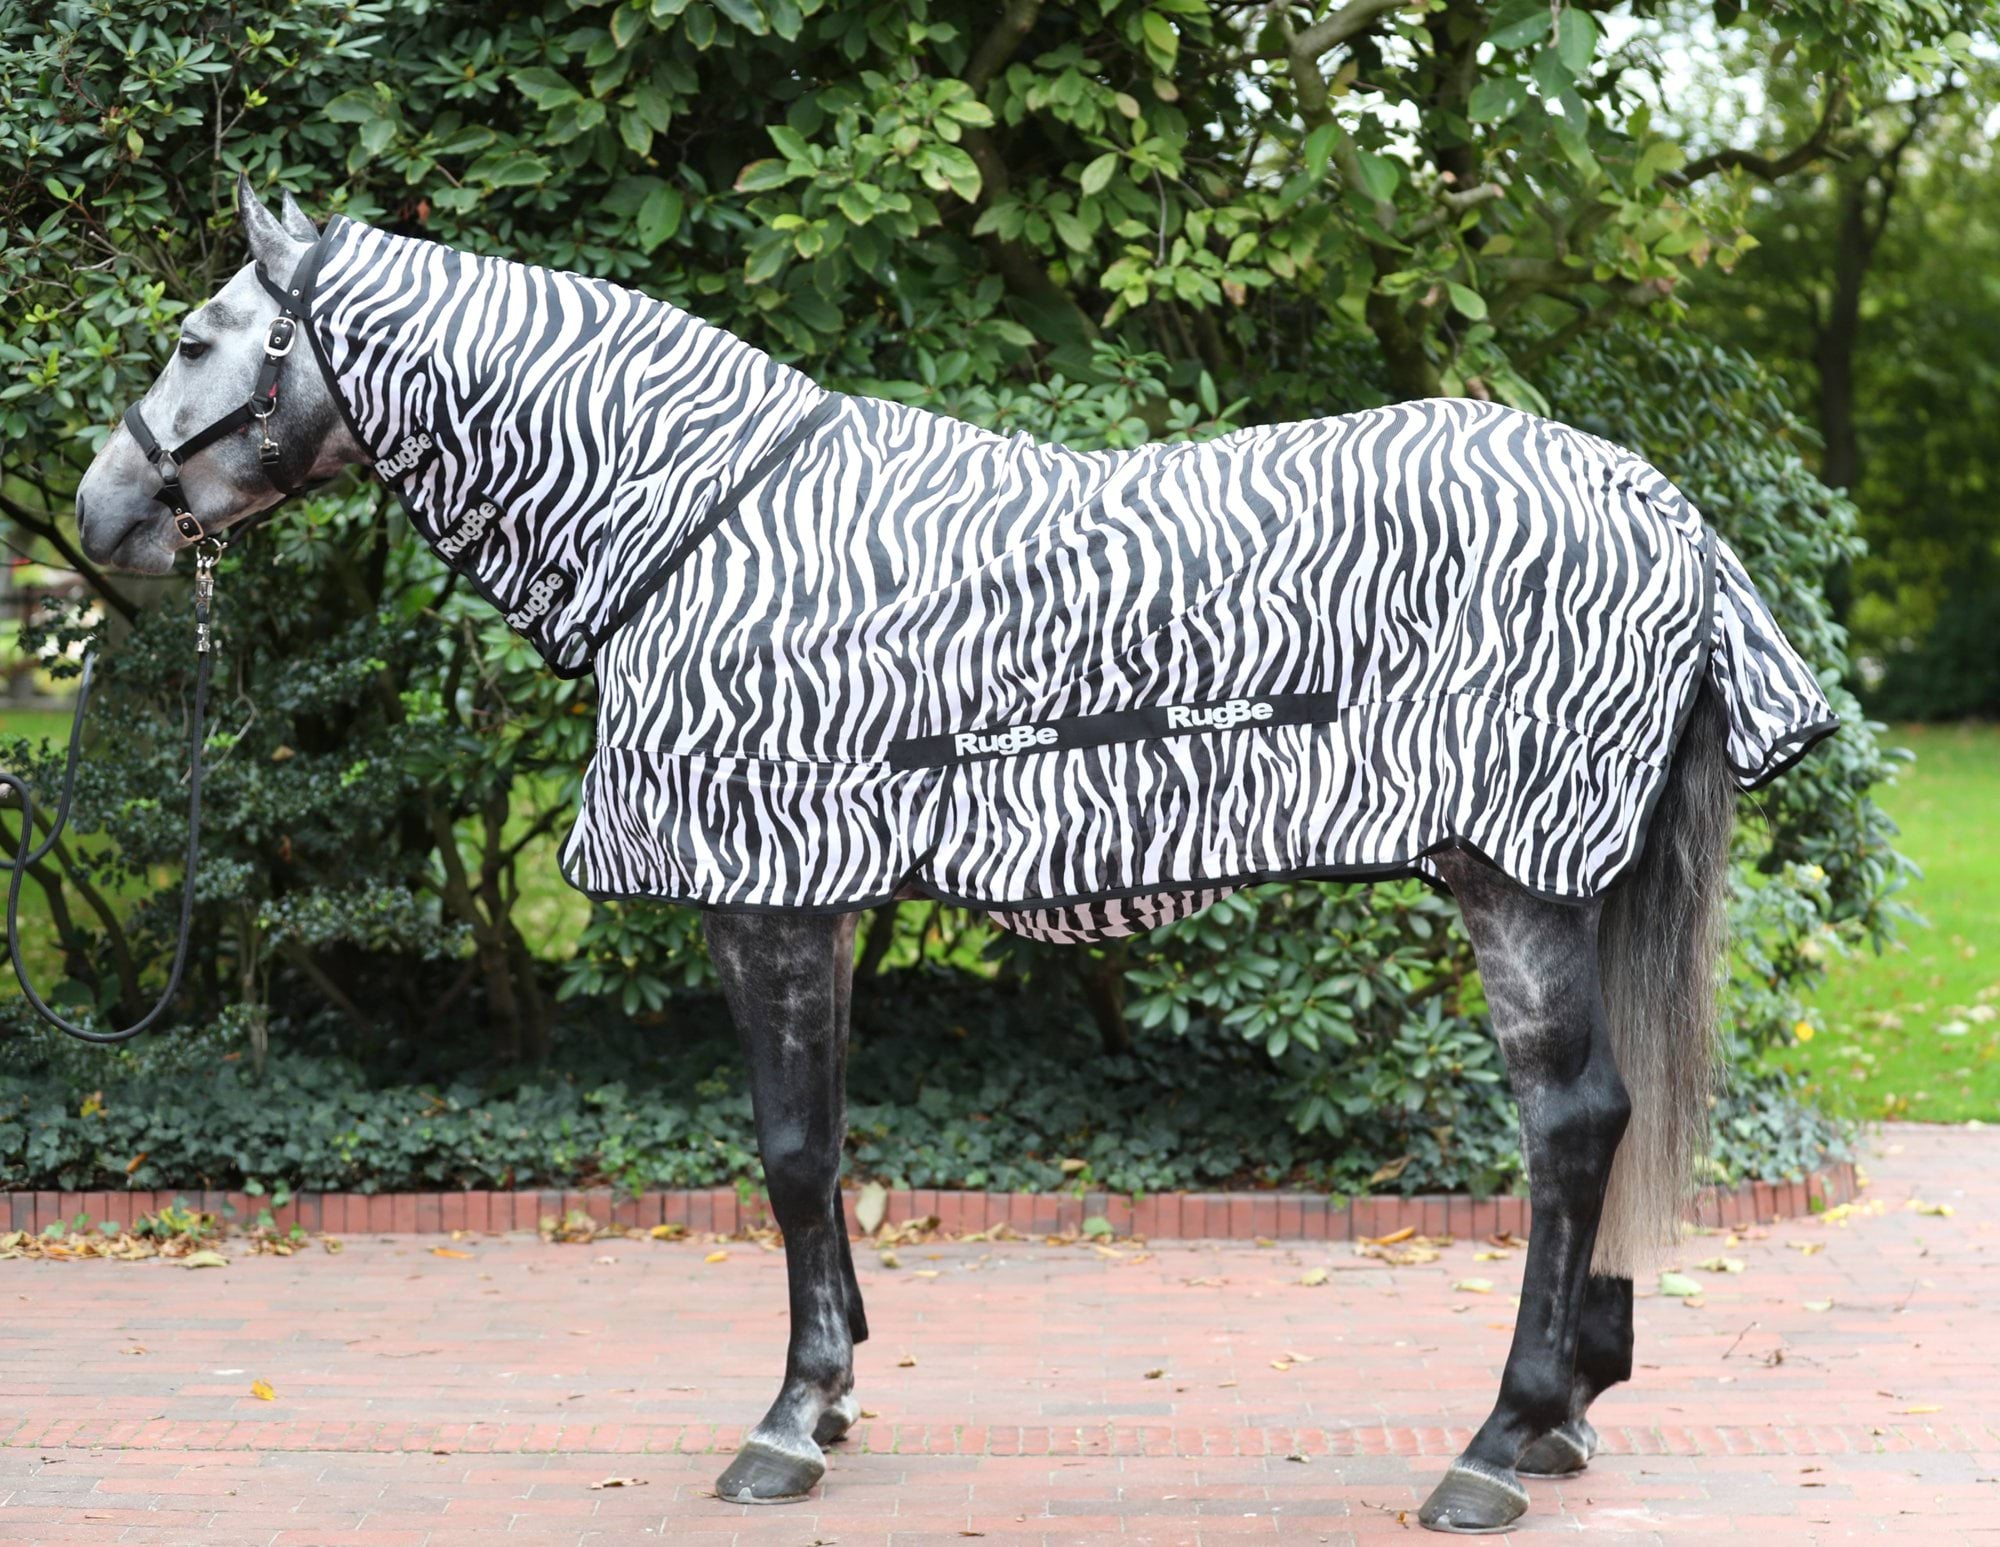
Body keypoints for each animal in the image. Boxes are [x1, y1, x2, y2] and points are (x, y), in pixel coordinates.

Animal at [75, 176, 1836, 1533]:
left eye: (194, 339)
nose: (99, 516)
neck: (695, 525)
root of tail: (1656, 505)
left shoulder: (764, 897)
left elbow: (789, 1151)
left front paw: (788, 1421)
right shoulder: (825, 898)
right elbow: (829, 1135)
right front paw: (839, 1382)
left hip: (1512, 877)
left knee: (1570, 1123)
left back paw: (1492, 1443)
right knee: (1595, 1125)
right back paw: (1561, 1414)